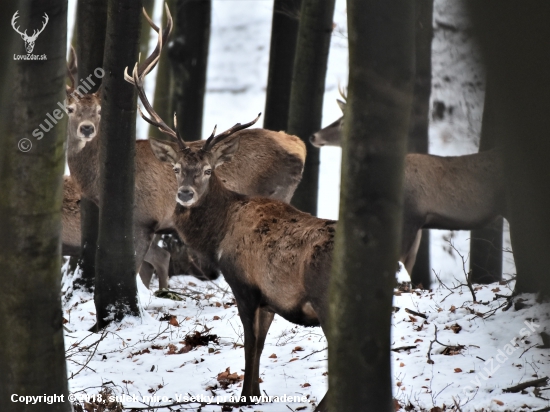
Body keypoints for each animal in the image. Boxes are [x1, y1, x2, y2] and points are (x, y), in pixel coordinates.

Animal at [66, 6, 306, 290]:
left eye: (101, 111)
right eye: (69, 109)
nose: (87, 129)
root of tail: (299, 144)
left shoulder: (144, 218)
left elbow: (137, 268)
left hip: (275, 194)